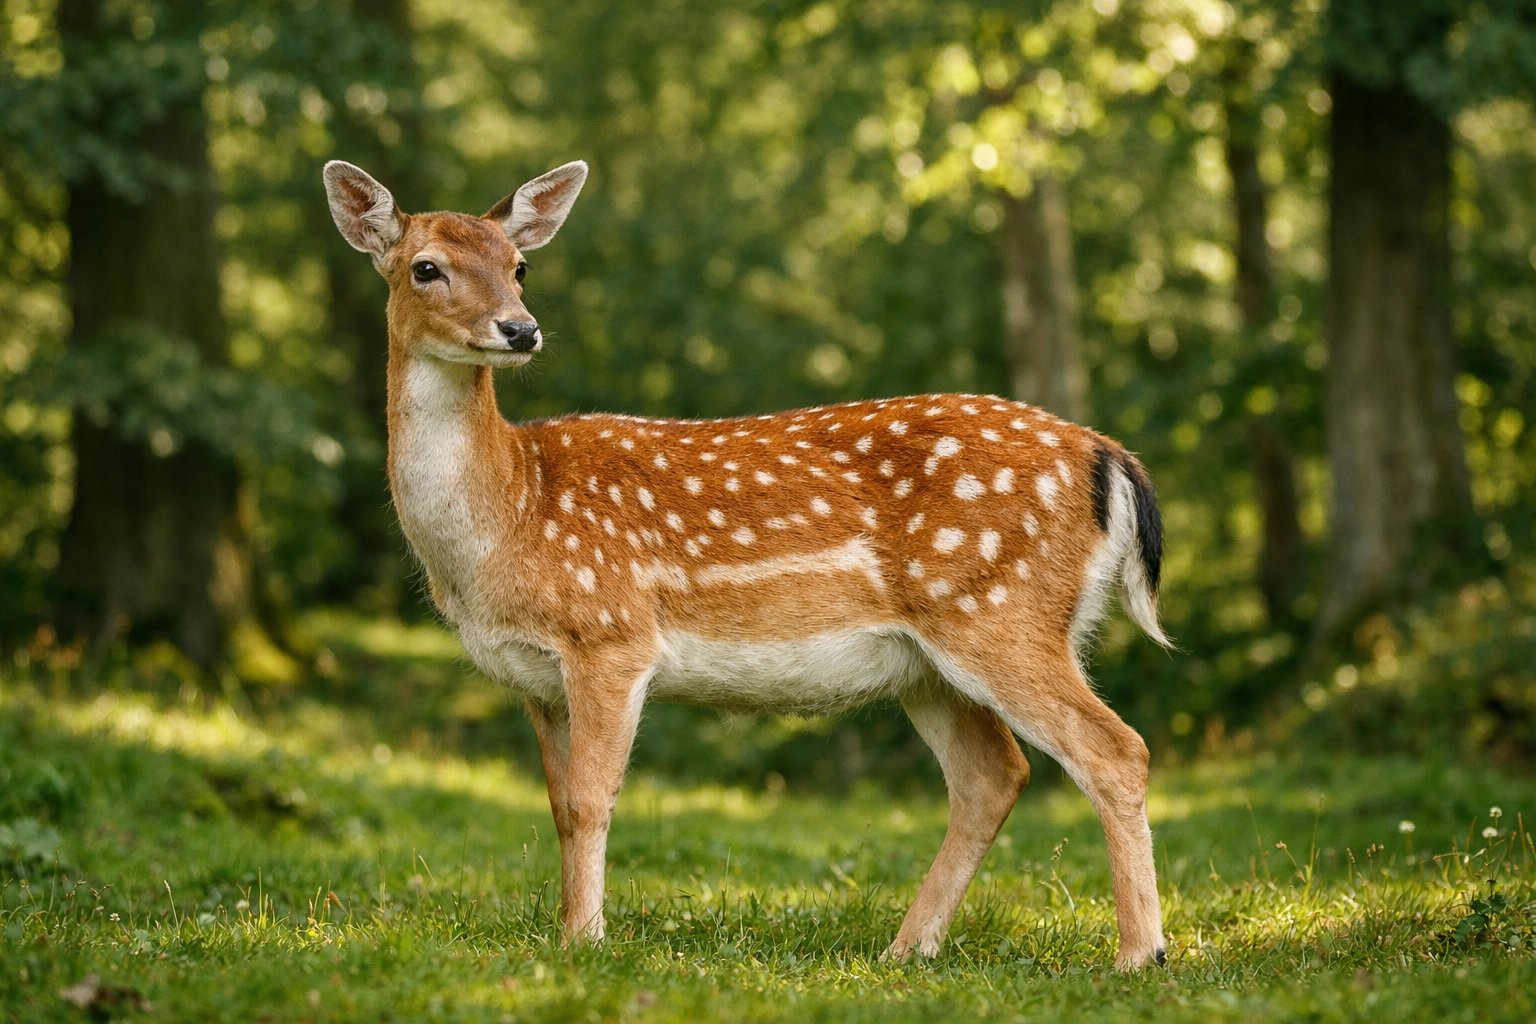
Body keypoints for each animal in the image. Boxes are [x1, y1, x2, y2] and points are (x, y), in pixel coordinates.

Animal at [323, 157, 1171, 970]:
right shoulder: (536, 680)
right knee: (992, 776)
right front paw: (572, 930)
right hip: (929, 661)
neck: (509, 516)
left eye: (520, 264)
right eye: (426, 267)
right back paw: (906, 950)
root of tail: (1109, 457)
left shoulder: (611, 632)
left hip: (1002, 610)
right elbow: (560, 808)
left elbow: (595, 798)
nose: (520, 329)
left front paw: (584, 943)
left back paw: (1139, 955)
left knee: (1115, 750)